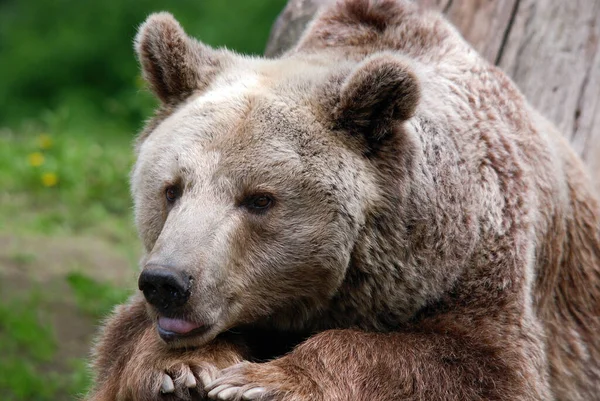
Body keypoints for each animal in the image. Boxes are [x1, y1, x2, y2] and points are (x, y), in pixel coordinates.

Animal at [86, 0, 596, 400]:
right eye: (171, 189)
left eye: (259, 200)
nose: (167, 282)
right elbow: (123, 341)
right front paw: (185, 370)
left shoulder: (479, 261)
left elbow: (481, 365)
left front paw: (262, 381)